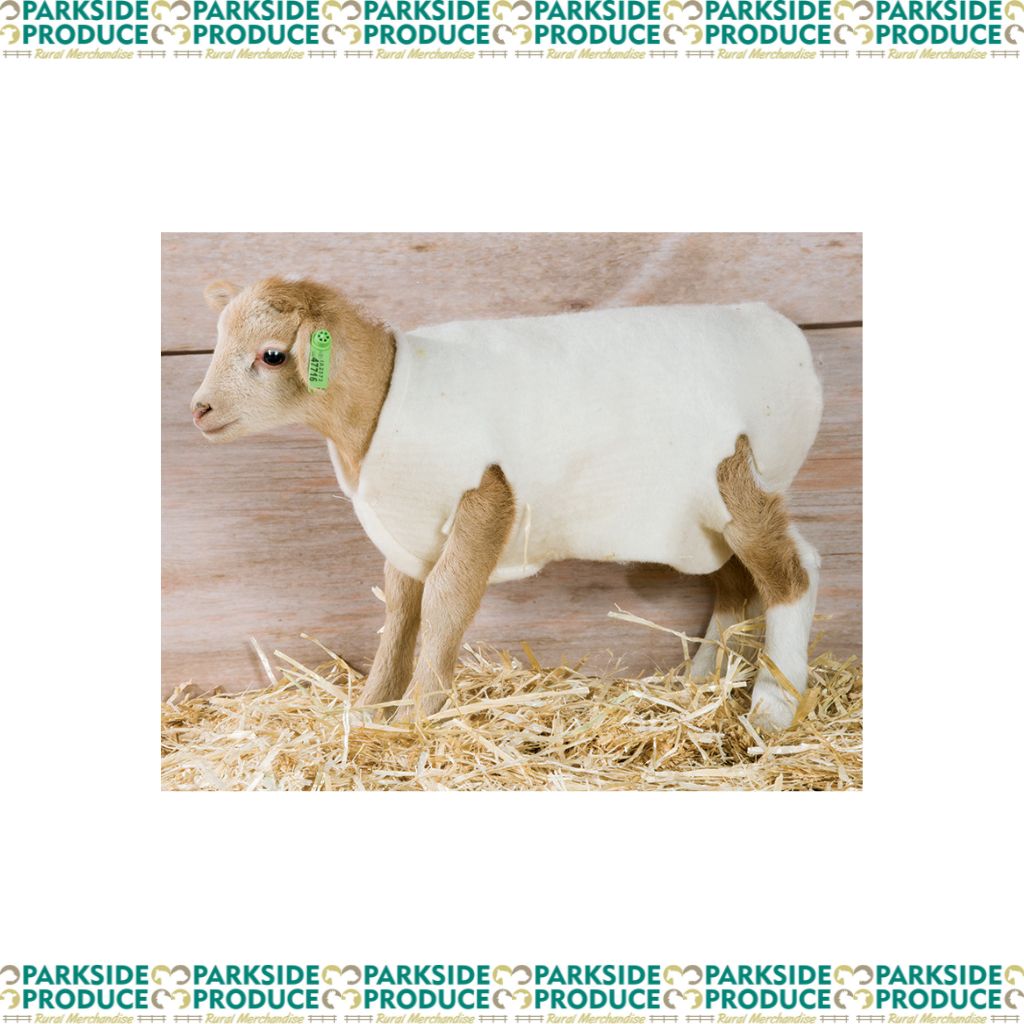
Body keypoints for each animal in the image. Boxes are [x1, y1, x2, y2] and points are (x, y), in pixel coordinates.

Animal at [191, 276, 823, 731]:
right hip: (698, 517)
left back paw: (774, 704)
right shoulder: (408, 517)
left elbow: (445, 601)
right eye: (218, 343)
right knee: (739, 585)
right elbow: (399, 611)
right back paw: (700, 681)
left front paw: (418, 716)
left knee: (792, 573)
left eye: (273, 355)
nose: (198, 409)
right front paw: (371, 712)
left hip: (740, 479)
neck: (378, 405)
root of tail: (778, 329)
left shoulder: (484, 499)